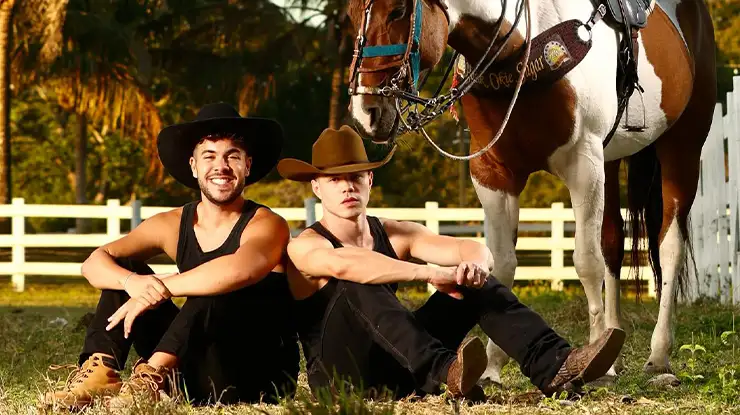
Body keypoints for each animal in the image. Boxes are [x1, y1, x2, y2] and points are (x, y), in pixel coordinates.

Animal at [346, 0, 716, 386]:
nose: (365, 113)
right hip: (611, 161)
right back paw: (614, 344)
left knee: (669, 246)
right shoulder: (493, 174)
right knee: (613, 242)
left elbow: (587, 263)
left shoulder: (583, 164)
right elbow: (502, 264)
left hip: (682, 146)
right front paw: (493, 366)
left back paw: (659, 357)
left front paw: (596, 366)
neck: (519, 47)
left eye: (398, 11)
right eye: (351, 15)